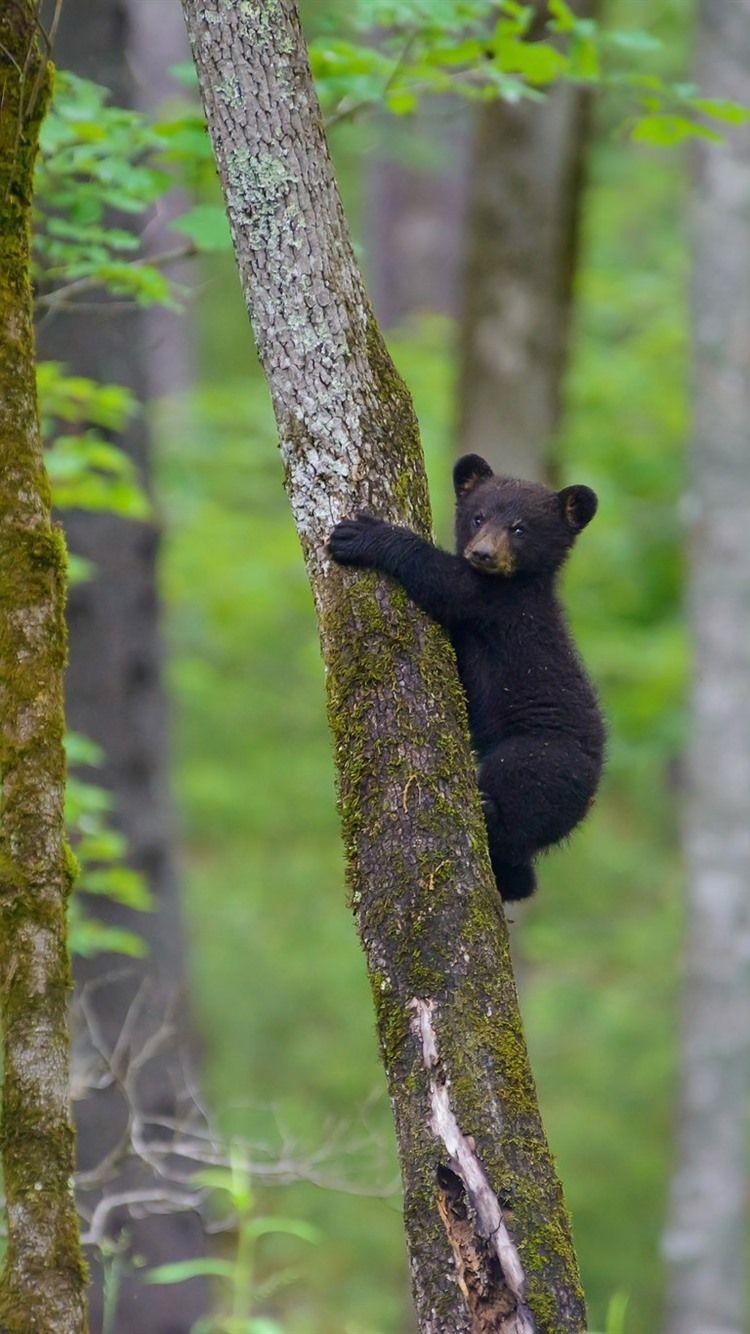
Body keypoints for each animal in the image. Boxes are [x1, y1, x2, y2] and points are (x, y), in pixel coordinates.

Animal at [328, 452, 605, 902]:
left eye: (519, 528)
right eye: (478, 517)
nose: (484, 553)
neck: (520, 582)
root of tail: (591, 794)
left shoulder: (495, 604)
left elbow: (442, 579)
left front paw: (361, 534)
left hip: (542, 759)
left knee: (513, 797)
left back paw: (490, 813)